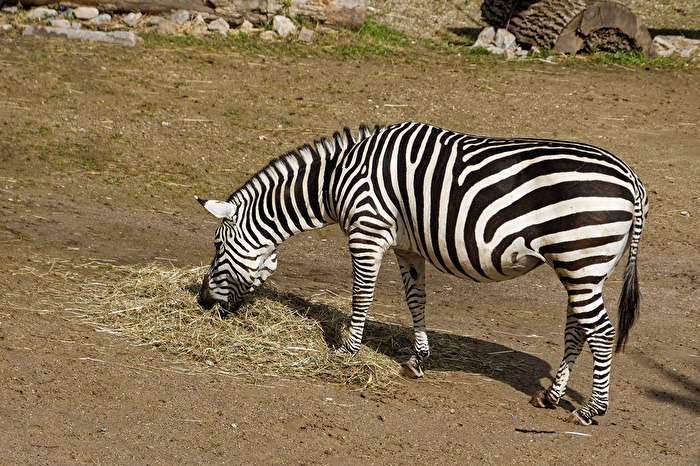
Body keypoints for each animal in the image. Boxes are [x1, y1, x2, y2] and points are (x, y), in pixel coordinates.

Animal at [197, 121, 648, 425]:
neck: (336, 179)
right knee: (578, 329)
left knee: (602, 332)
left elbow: (362, 293)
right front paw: (417, 359)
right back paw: (552, 396)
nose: (201, 302)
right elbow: (416, 299)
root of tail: (631, 178)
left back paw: (590, 410)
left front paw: (347, 351)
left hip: (579, 258)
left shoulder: (367, 231)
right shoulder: (407, 245)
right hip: (585, 267)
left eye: (217, 245)